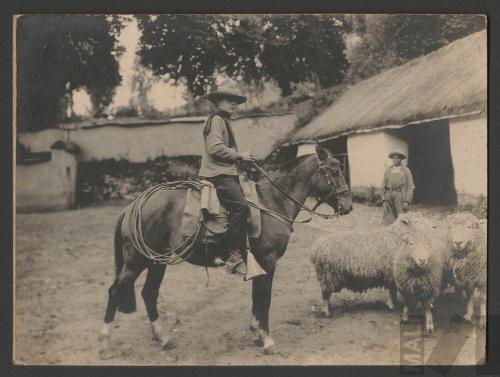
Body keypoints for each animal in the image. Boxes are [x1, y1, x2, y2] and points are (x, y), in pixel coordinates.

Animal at [99, 143, 354, 356]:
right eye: (333, 170)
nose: (349, 206)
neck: (272, 201)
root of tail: (133, 205)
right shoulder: (268, 261)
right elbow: (265, 299)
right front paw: (267, 339)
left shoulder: (259, 263)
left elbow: (256, 297)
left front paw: (256, 332)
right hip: (136, 262)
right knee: (115, 291)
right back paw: (105, 342)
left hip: (156, 261)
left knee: (149, 294)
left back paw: (163, 338)